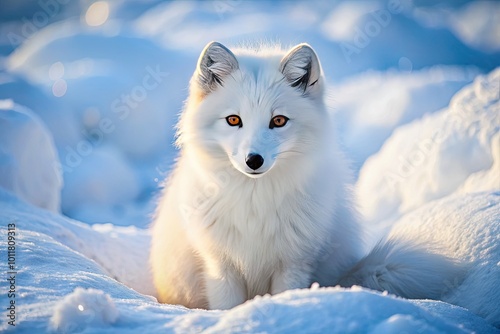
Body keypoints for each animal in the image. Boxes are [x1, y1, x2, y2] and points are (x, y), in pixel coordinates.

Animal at [148, 41, 460, 310]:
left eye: (278, 121)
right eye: (233, 120)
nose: (254, 160)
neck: (255, 202)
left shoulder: (294, 264)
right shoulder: (221, 265)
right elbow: (227, 306)